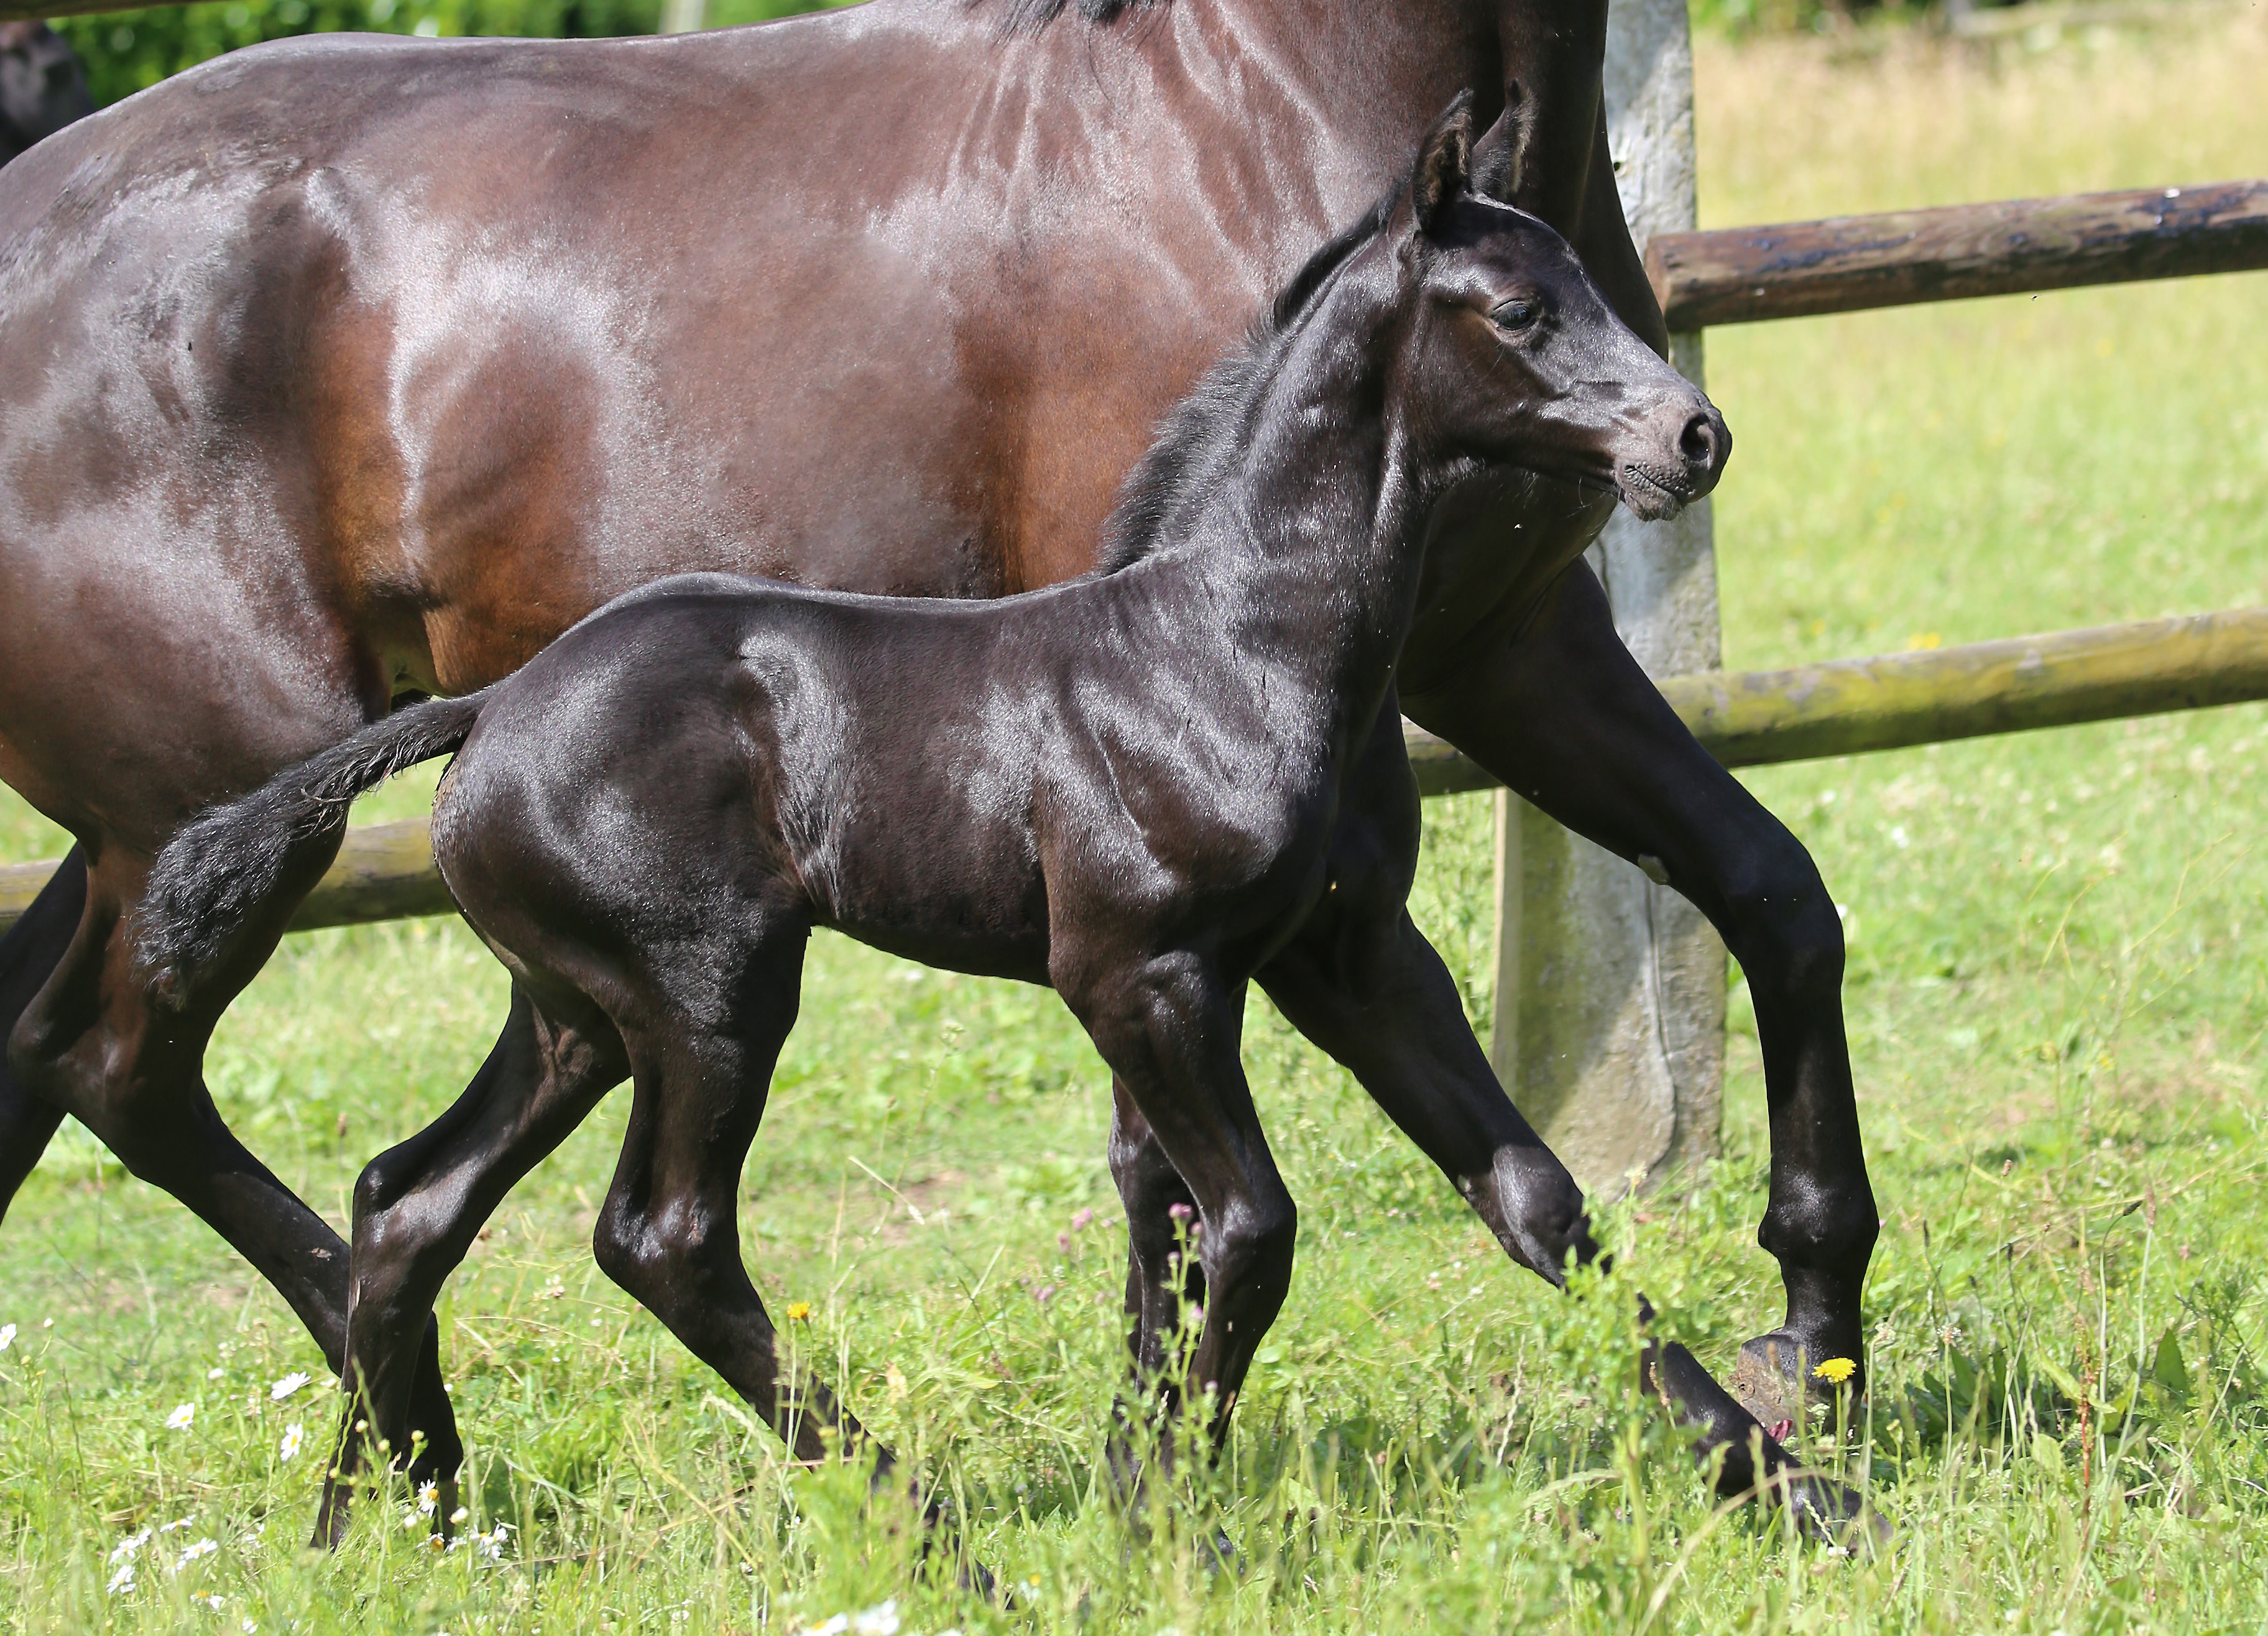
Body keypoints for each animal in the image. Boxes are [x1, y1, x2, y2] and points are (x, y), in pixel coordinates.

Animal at [0, 0, 1868, 1525]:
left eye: (1587, 281)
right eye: (1514, 307)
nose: (1688, 434)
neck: (1223, 636)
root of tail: (496, 709)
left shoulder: (1368, 910)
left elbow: (1547, 1172)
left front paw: (1780, 1451)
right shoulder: (1139, 968)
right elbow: (1225, 1215)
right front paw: (1158, 1495)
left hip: (567, 1006)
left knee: (386, 1185)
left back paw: (407, 1502)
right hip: (644, 974)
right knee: (582, 1212)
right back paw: (893, 1506)